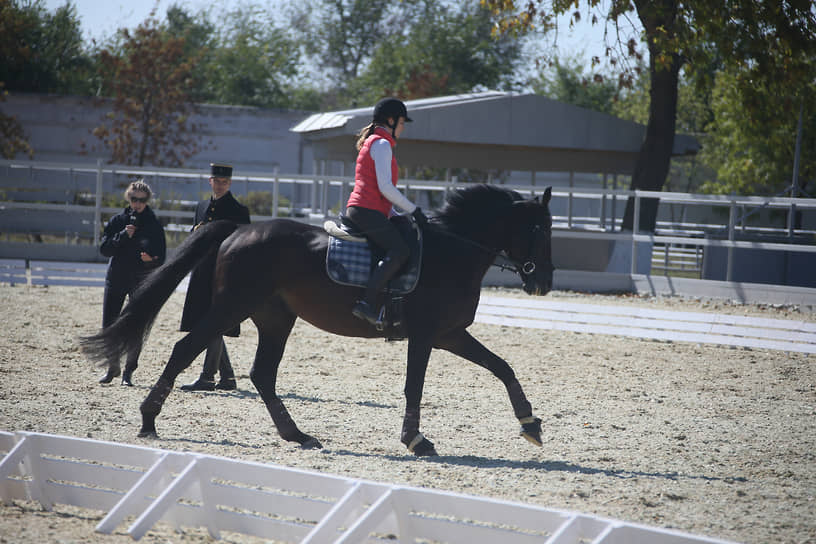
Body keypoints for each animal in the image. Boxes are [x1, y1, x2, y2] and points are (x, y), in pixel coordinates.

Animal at [81, 185, 556, 456]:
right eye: (541, 229)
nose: (545, 282)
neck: (452, 251)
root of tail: (237, 230)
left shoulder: (450, 334)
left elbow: (502, 367)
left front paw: (530, 424)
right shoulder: (425, 336)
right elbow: (415, 387)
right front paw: (416, 441)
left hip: (275, 318)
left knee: (263, 374)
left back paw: (298, 436)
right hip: (232, 307)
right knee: (186, 349)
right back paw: (148, 420)